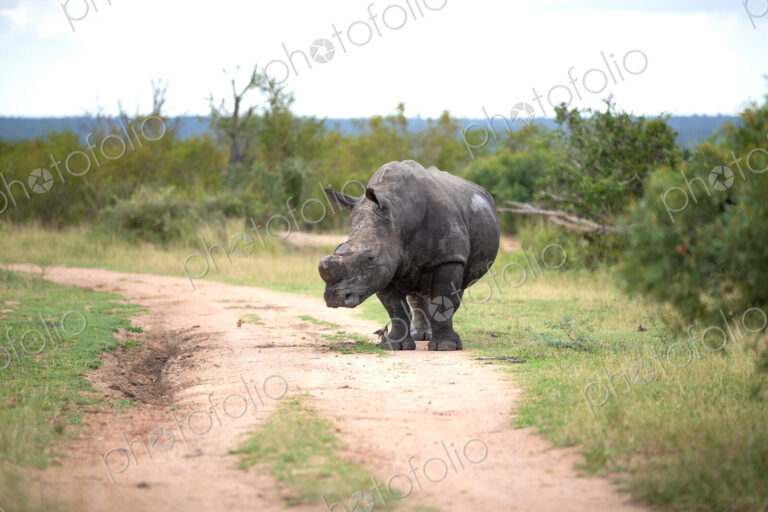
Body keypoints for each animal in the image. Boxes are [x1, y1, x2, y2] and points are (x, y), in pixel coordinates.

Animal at [318, 160, 500, 351]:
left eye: (370, 257)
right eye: (337, 249)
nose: (335, 298)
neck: (400, 215)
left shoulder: (449, 257)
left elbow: (443, 299)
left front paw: (445, 346)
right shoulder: (385, 266)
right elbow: (395, 308)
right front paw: (394, 345)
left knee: (456, 289)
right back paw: (421, 336)